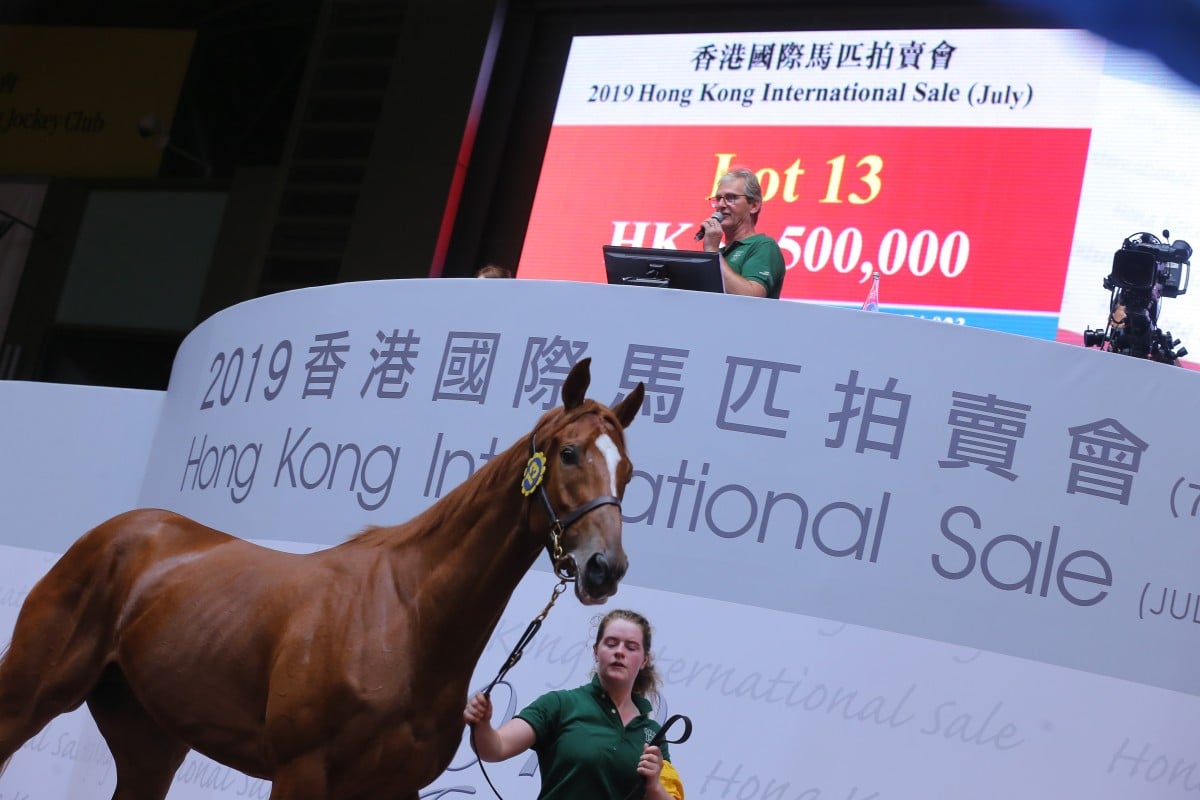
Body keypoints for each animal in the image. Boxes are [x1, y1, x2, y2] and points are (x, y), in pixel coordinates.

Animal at [0, 359, 648, 796]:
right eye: (569, 453)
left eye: (629, 472)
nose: (605, 568)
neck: (406, 619)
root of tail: (121, 531)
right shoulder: (301, 774)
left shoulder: (394, 789)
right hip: (28, 700)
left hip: (150, 740)